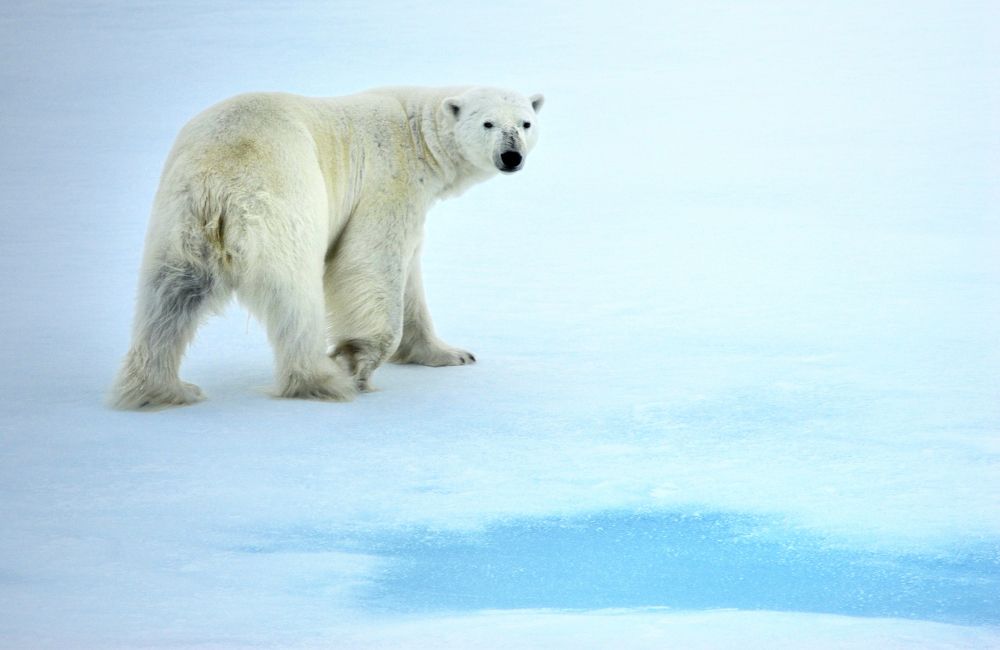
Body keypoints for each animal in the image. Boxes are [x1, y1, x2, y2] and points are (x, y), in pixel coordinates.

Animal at [108, 83, 544, 408]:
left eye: (526, 122)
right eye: (488, 123)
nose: (511, 155)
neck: (417, 131)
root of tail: (220, 178)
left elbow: (410, 279)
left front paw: (448, 354)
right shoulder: (389, 179)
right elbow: (372, 260)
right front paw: (359, 361)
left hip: (180, 216)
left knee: (169, 295)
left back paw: (163, 389)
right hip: (284, 199)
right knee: (294, 296)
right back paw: (322, 378)